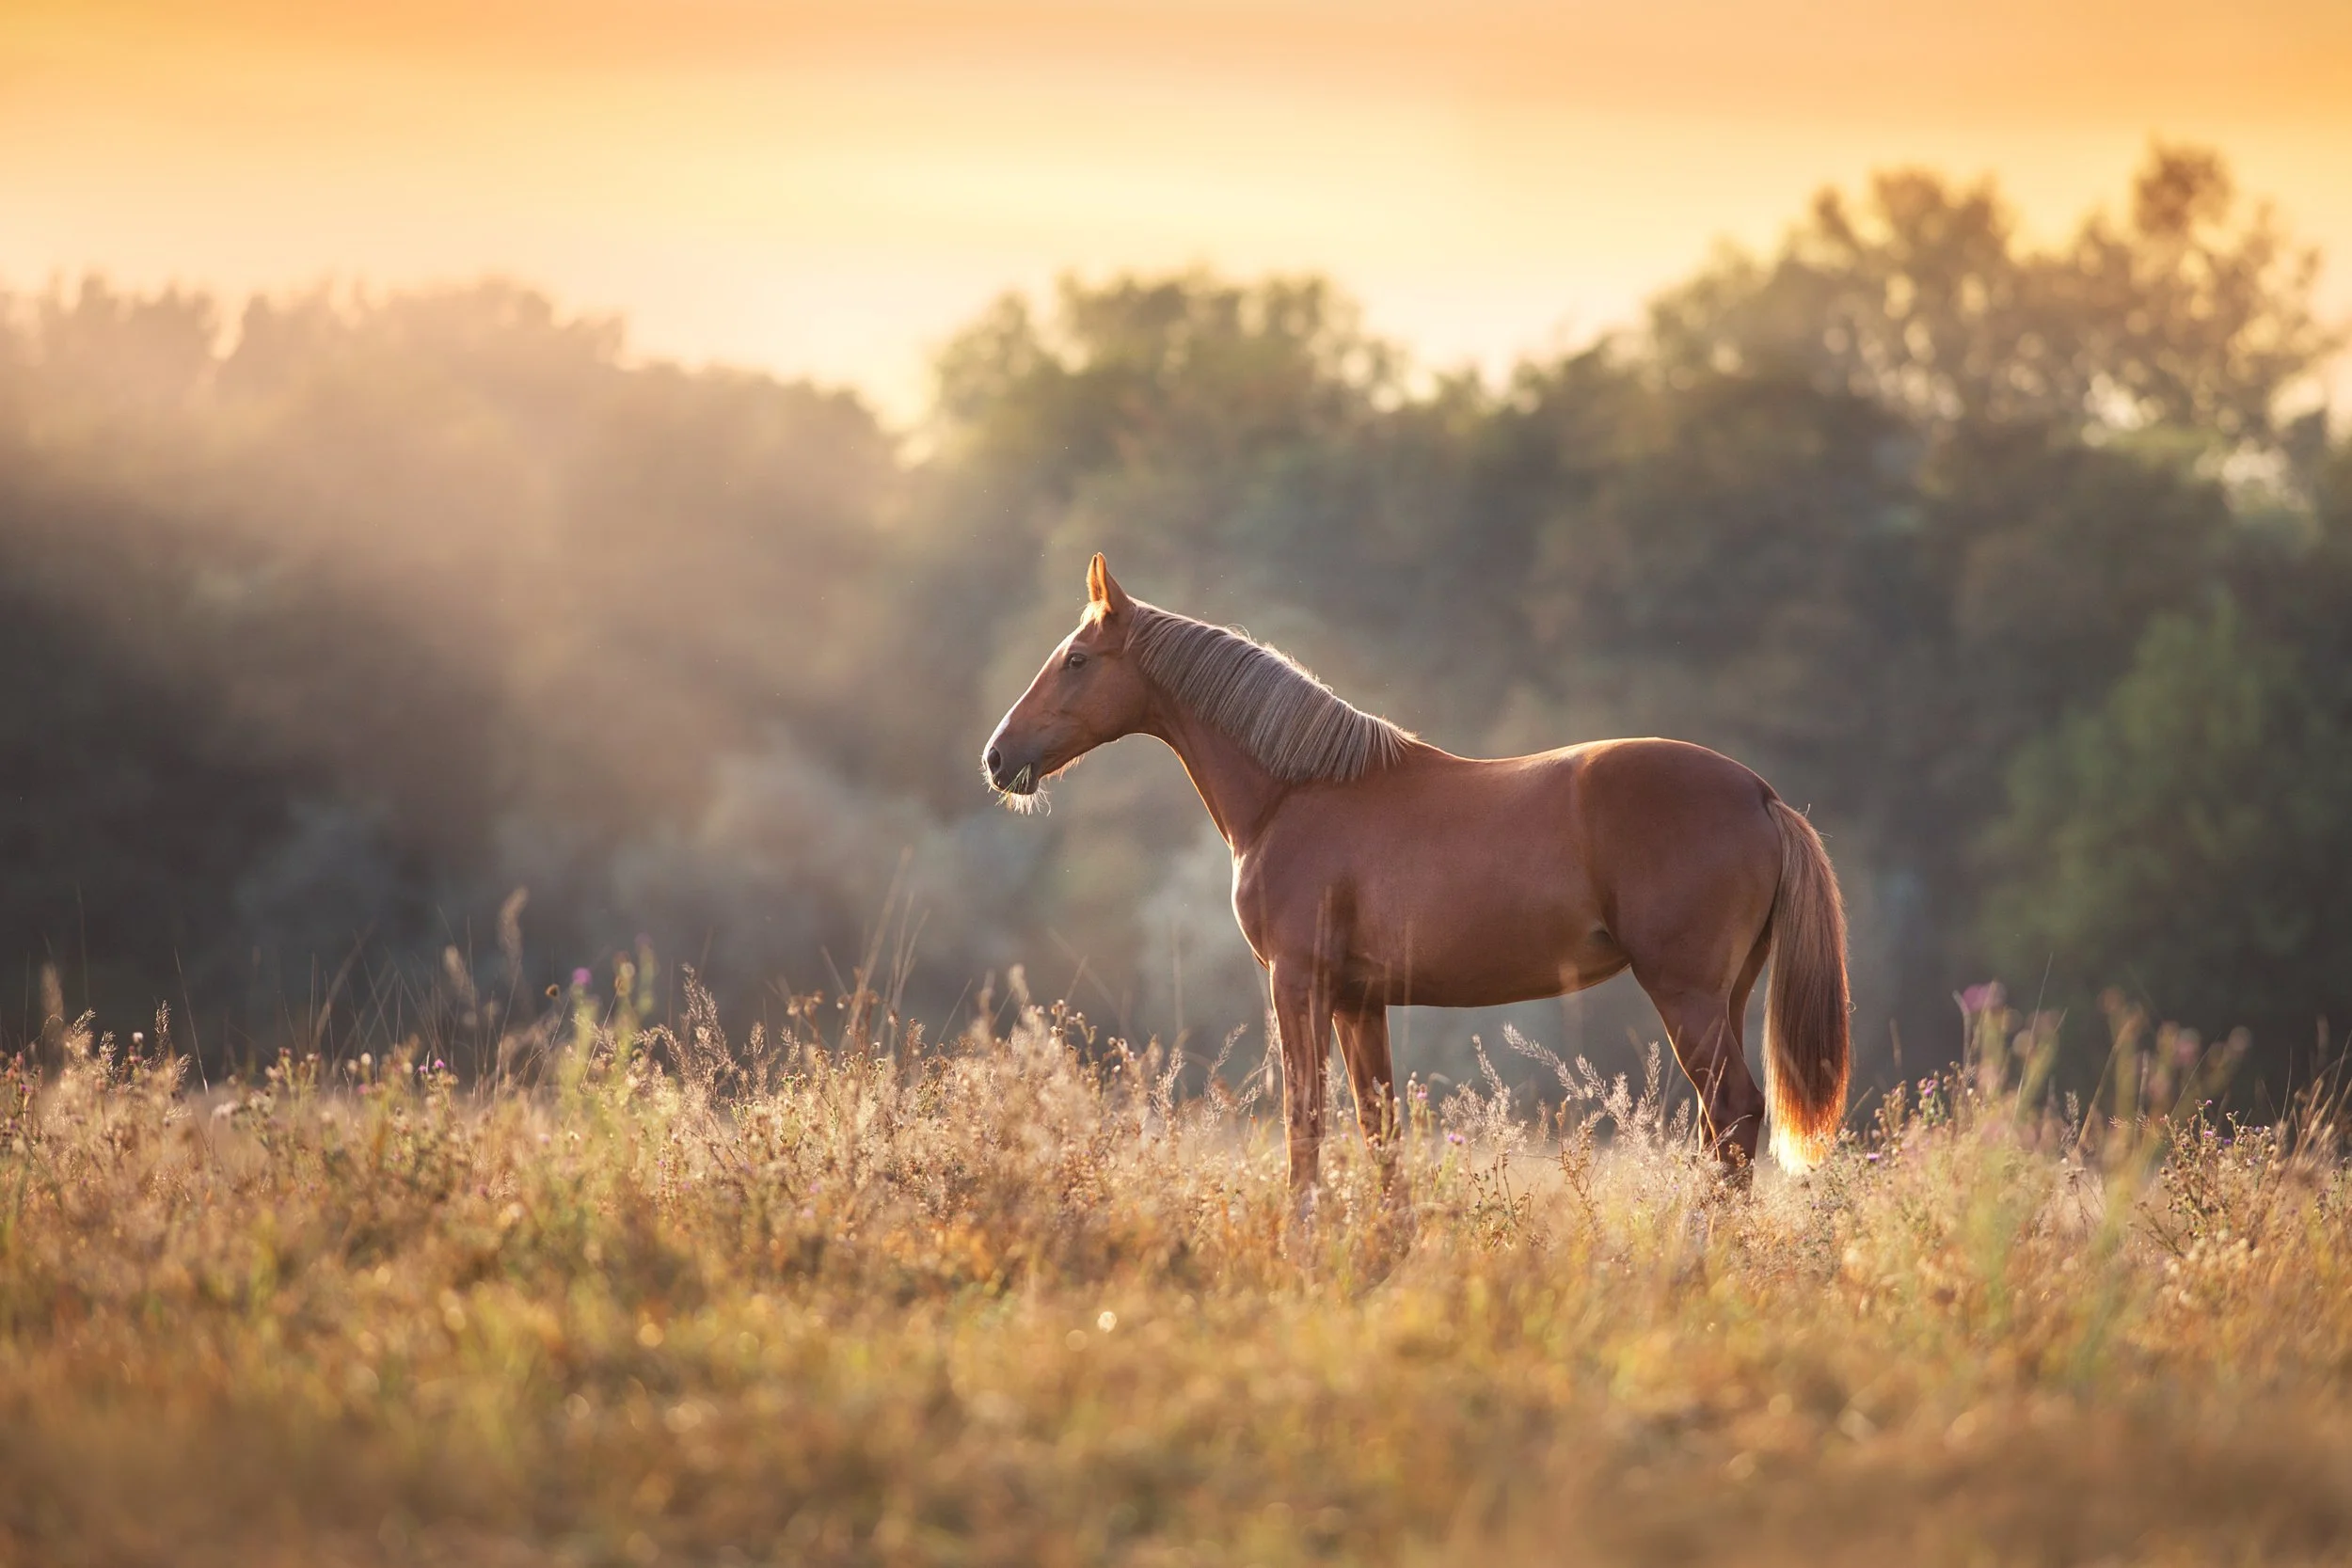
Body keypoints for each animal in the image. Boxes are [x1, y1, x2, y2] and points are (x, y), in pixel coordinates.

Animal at [983, 554, 1850, 1196]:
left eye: (1077, 659)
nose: (998, 757)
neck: (1295, 790)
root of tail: (1760, 793)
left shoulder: (1298, 982)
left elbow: (1305, 1121)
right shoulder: (1358, 1000)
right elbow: (1381, 1131)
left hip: (1686, 994)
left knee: (1732, 1113)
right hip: (1724, 994)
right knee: (1724, 1126)